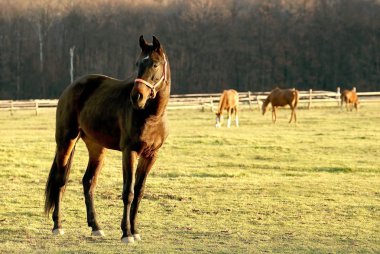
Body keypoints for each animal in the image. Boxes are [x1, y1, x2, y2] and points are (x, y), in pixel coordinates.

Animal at [43, 34, 171, 243]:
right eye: (138, 63)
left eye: (154, 64)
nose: (137, 97)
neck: (151, 115)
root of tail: (71, 88)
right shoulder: (129, 152)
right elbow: (128, 192)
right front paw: (126, 233)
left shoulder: (151, 155)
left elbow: (139, 192)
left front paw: (135, 231)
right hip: (66, 142)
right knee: (60, 181)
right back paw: (58, 226)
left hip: (97, 149)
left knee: (88, 182)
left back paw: (95, 227)